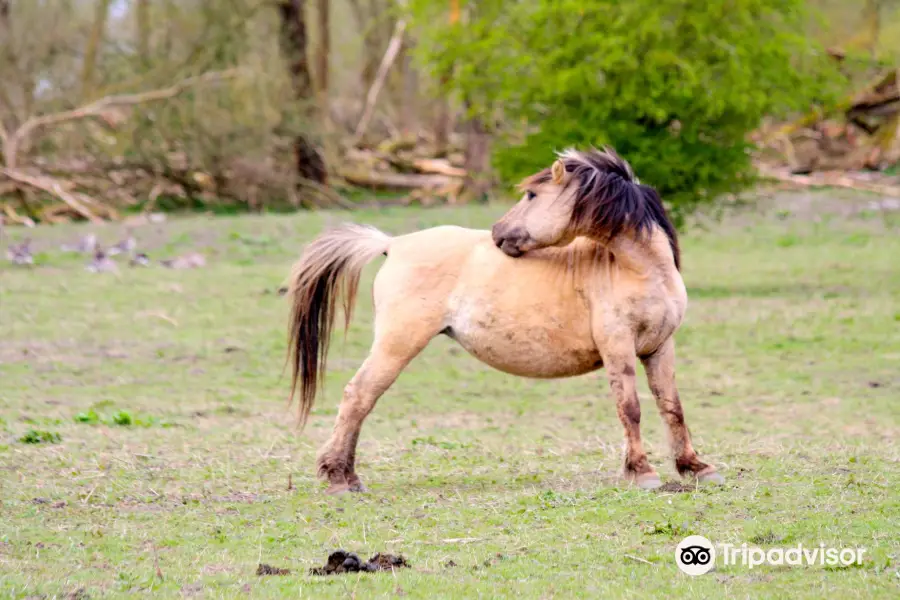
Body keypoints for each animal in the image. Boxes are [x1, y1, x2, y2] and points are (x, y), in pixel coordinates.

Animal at [284, 145, 720, 492]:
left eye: (531, 194)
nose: (498, 233)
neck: (640, 270)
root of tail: (394, 243)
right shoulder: (618, 347)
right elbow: (630, 408)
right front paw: (642, 472)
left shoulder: (659, 347)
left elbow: (672, 406)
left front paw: (695, 467)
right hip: (397, 344)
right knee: (359, 396)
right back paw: (340, 478)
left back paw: (346, 476)